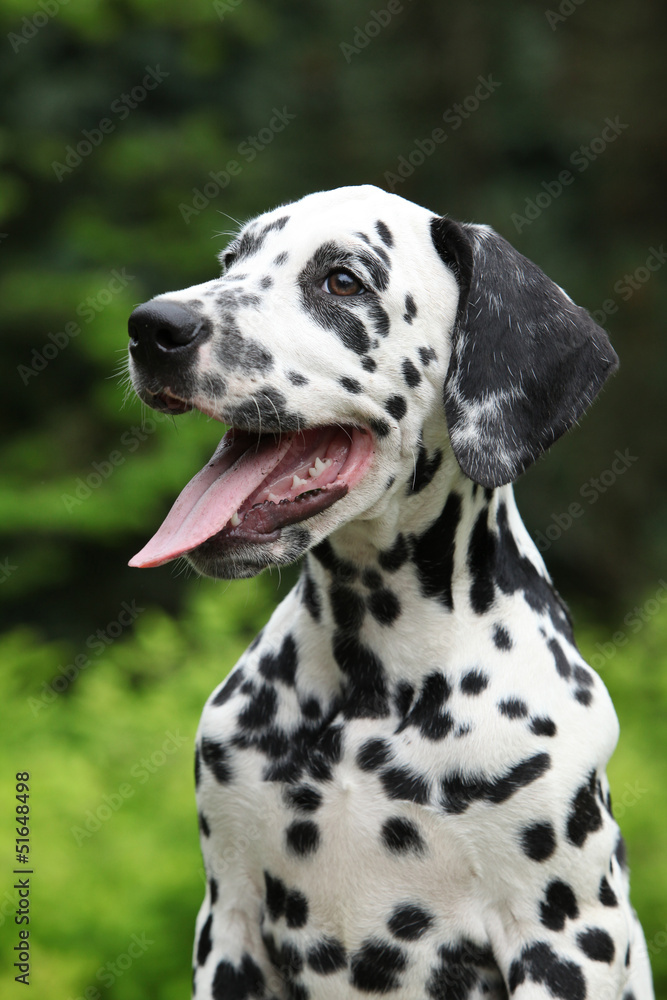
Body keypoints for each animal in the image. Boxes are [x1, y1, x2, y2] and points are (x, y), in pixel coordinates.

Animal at [125, 184, 652, 996]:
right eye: (232, 259)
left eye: (342, 280)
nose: (153, 327)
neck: (368, 692)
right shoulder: (230, 926)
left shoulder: (563, 937)